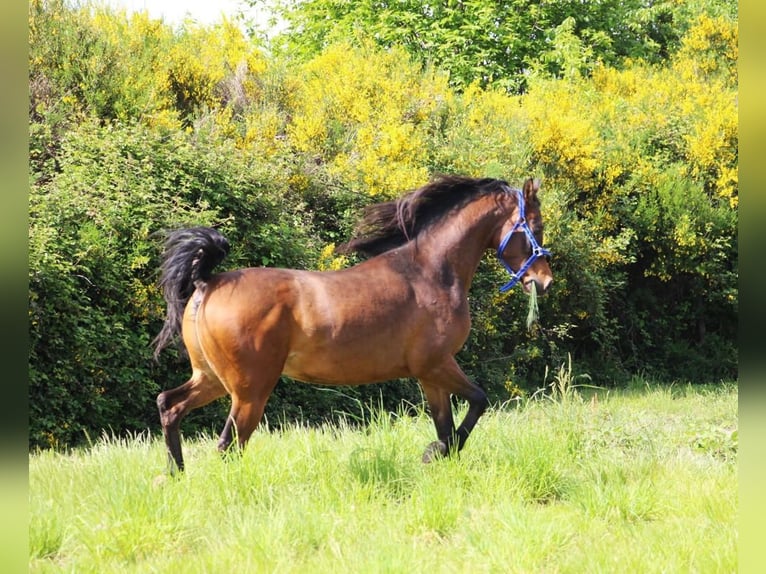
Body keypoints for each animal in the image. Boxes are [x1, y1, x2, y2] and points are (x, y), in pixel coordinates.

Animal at [153, 176, 556, 472]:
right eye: (535, 226)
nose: (544, 280)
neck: (430, 273)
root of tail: (208, 282)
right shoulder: (437, 364)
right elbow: (479, 401)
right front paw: (438, 453)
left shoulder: (429, 374)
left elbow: (445, 422)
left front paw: (437, 456)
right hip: (250, 391)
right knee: (228, 444)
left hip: (211, 378)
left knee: (170, 405)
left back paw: (175, 474)